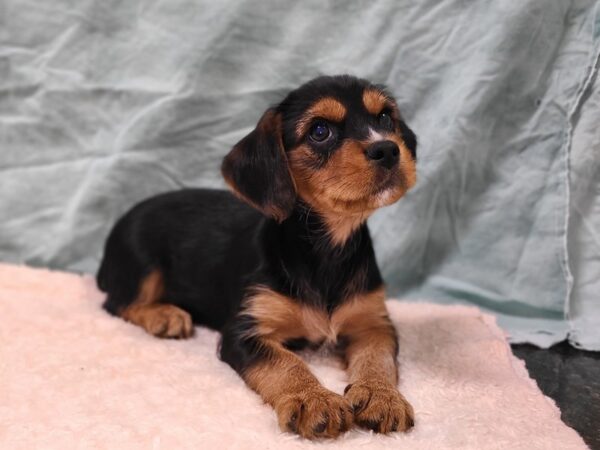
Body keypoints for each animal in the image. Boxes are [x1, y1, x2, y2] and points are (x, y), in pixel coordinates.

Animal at [97, 74, 418, 440]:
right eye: (320, 131)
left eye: (385, 119)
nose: (388, 149)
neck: (327, 249)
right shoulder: (245, 333)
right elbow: (285, 363)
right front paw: (313, 399)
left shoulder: (373, 323)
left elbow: (379, 358)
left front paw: (382, 396)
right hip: (142, 263)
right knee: (118, 303)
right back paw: (163, 315)